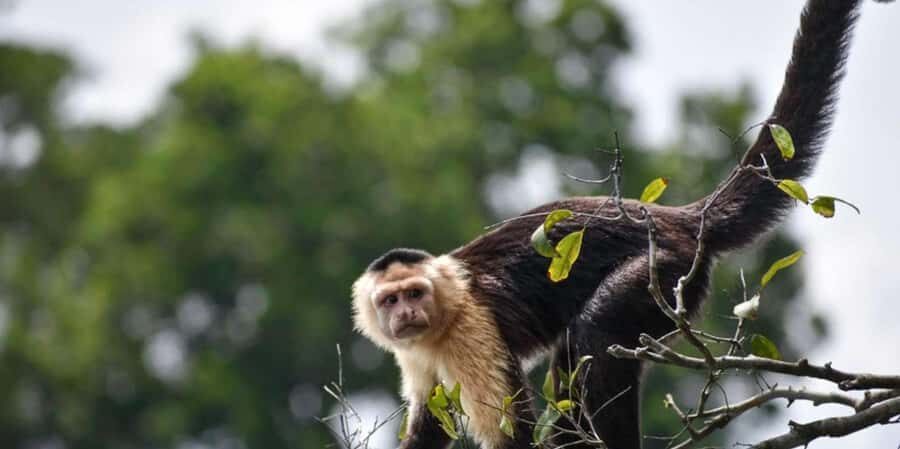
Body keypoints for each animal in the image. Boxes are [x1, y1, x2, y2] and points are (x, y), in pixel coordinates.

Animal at [351, 1, 872, 448]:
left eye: (415, 293)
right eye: (391, 300)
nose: (406, 314)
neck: (442, 317)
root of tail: (677, 217)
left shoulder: (471, 329)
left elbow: (512, 430)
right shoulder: (415, 354)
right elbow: (429, 422)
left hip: (669, 269)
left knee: (596, 333)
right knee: (572, 354)